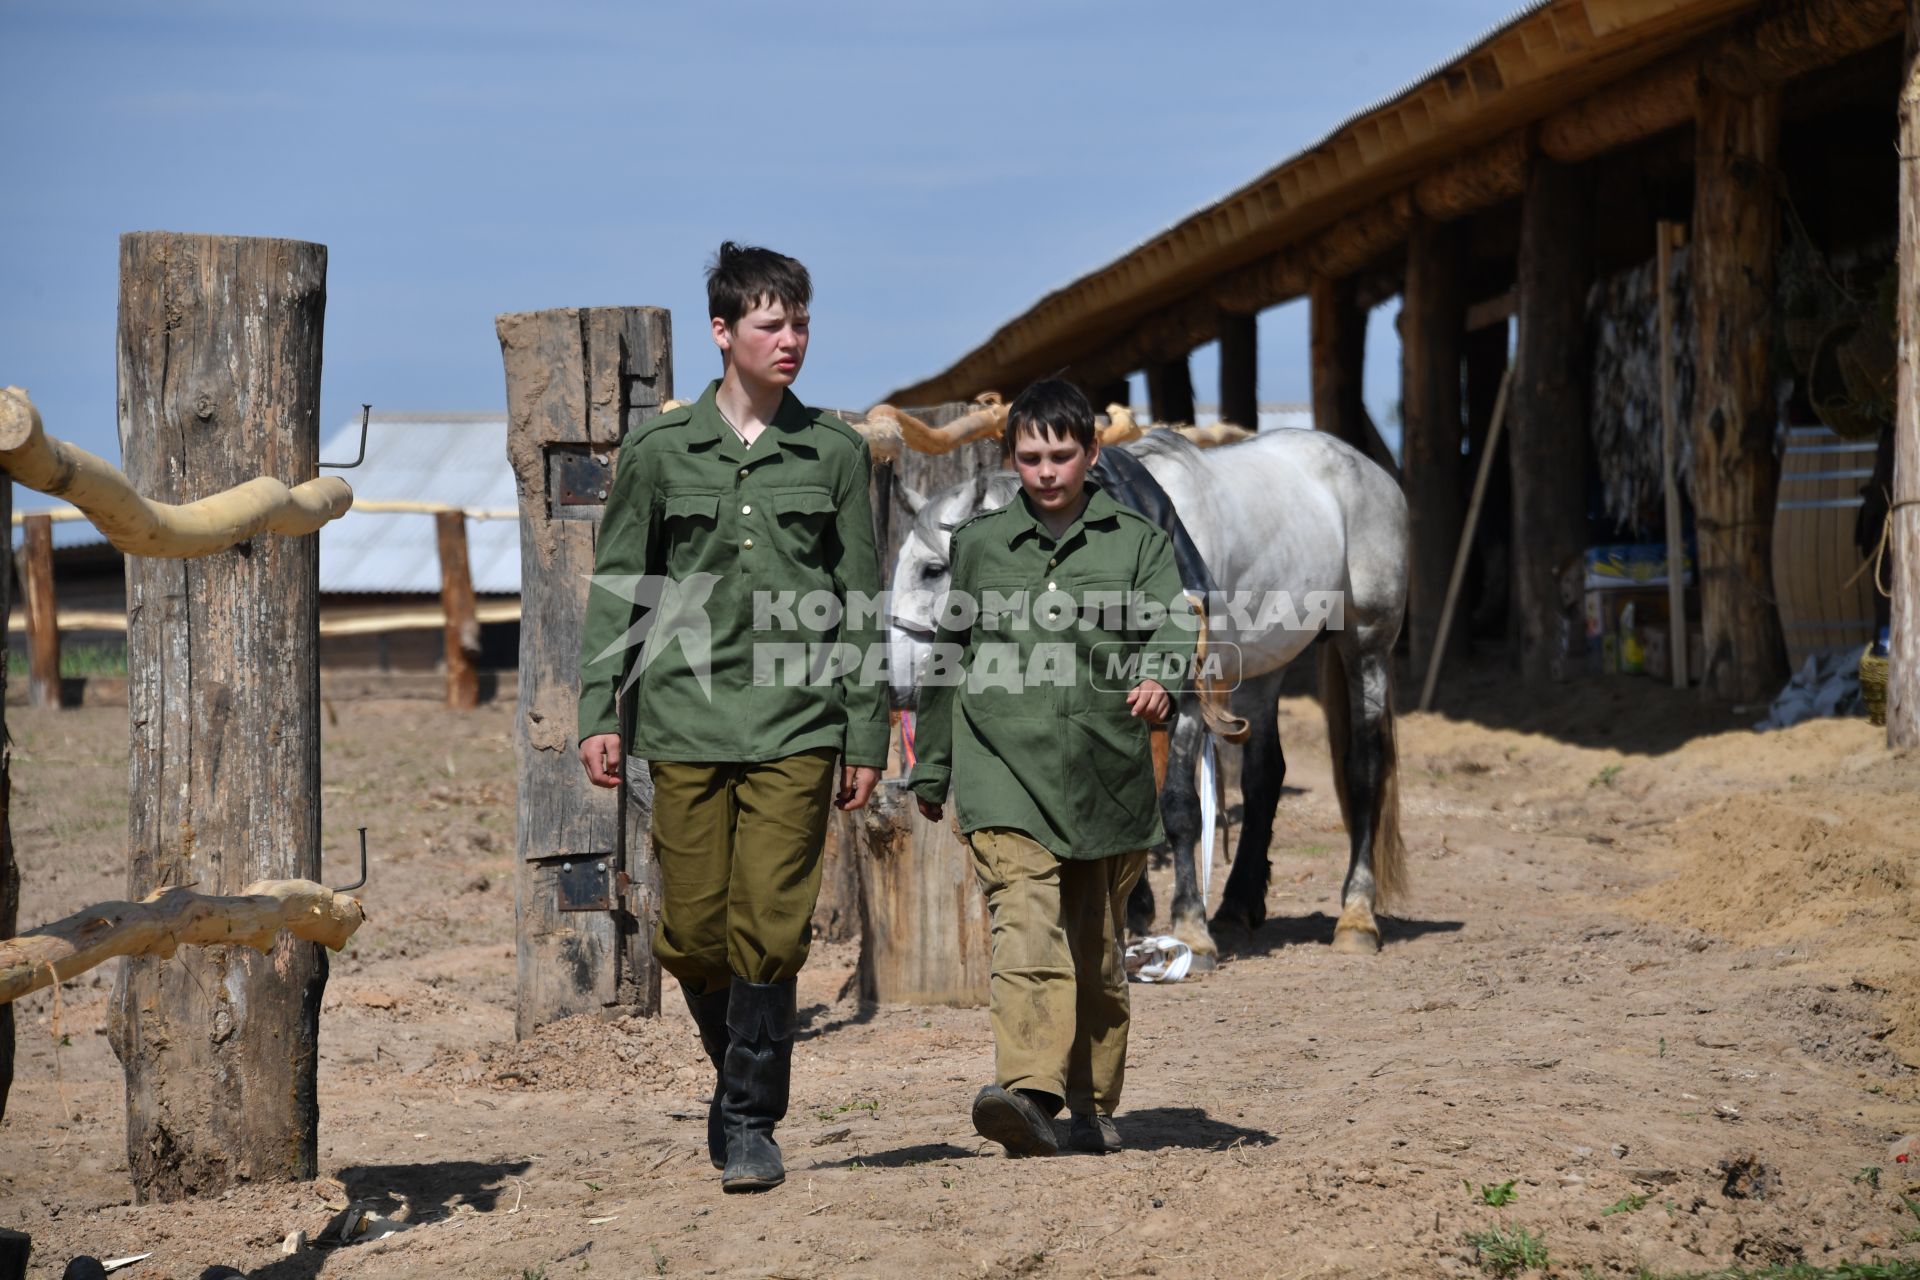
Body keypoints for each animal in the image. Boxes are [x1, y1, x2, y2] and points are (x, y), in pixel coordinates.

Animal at [887, 427, 1413, 959]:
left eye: (933, 569)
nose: (897, 685)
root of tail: (1371, 470)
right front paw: (1135, 912)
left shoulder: (1186, 699)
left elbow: (1177, 805)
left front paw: (1189, 927)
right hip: (1264, 667)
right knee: (1265, 776)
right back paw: (1237, 908)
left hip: (1367, 644)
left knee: (1365, 768)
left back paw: (1356, 917)